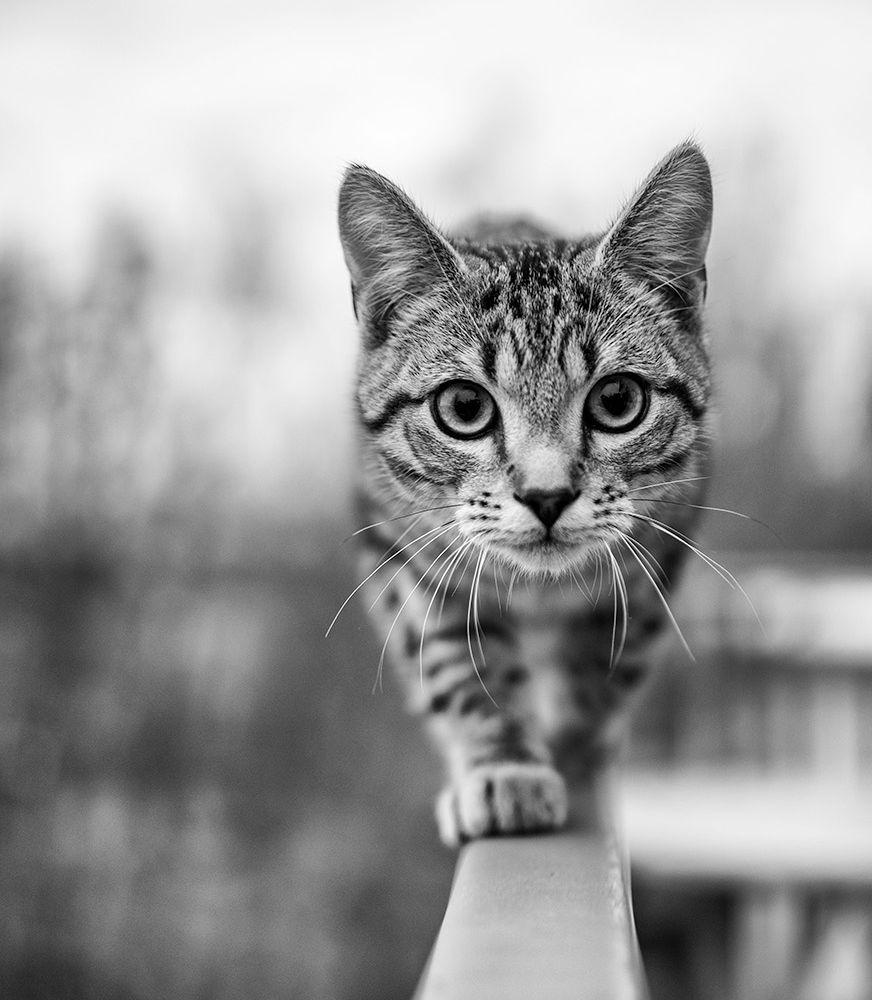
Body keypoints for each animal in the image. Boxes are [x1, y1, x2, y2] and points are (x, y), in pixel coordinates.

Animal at [338, 143, 712, 844]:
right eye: (464, 407)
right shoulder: (403, 547)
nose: (547, 495)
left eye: (617, 400)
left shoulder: (664, 539)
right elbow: (458, 661)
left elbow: (606, 662)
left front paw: (576, 747)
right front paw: (505, 763)